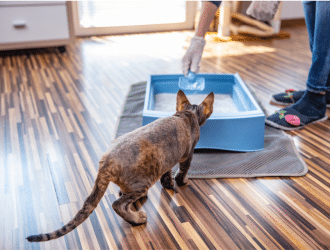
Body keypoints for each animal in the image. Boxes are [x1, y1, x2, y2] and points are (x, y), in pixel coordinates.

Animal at [27, 90, 215, 242]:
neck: (187, 113)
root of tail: (106, 161)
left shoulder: (169, 157)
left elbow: (167, 172)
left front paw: (168, 183)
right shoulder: (188, 154)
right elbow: (183, 171)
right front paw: (182, 181)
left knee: (123, 195)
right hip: (143, 182)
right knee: (118, 204)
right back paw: (136, 219)